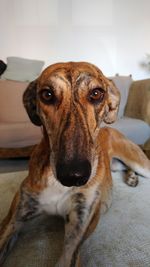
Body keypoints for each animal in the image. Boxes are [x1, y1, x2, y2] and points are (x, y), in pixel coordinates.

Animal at [0, 61, 150, 266]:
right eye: (47, 94)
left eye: (96, 93)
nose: (73, 176)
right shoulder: (15, 217)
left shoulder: (79, 225)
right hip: (116, 165)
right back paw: (132, 178)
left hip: (138, 161)